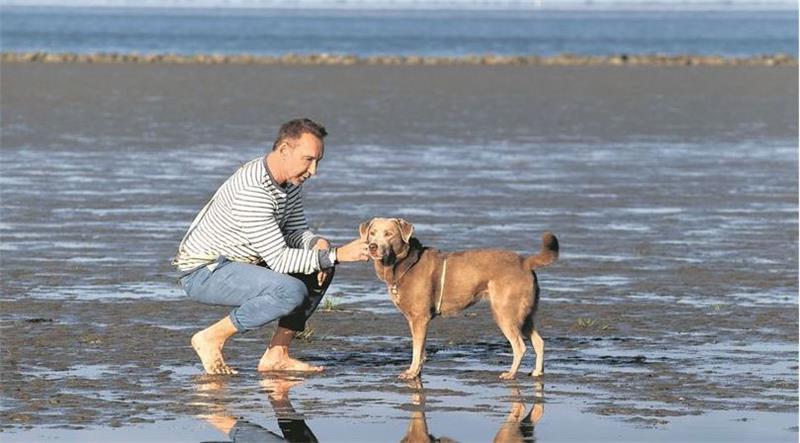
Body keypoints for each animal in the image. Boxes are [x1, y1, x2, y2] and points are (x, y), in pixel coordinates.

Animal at [360, 219, 560, 382]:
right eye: (372, 233)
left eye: (389, 234)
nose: (372, 246)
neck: (404, 264)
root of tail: (525, 262)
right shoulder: (416, 320)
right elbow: (421, 349)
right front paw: (417, 372)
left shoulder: (419, 318)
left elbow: (416, 349)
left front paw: (411, 372)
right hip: (524, 314)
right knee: (539, 342)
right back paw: (537, 372)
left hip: (505, 312)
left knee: (520, 346)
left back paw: (510, 374)